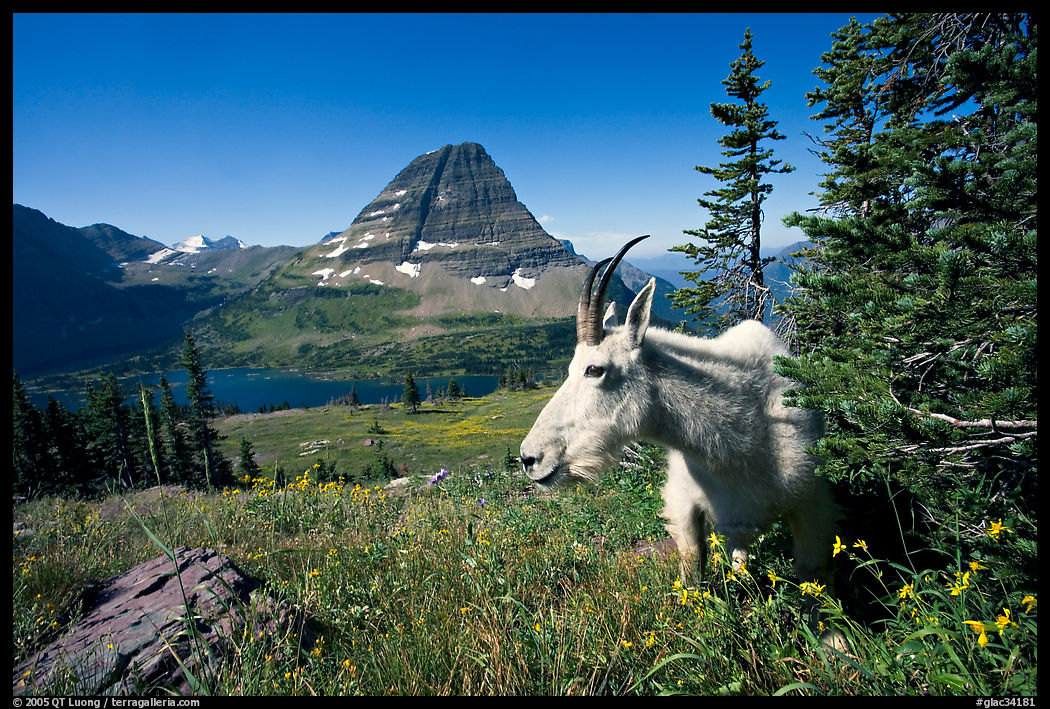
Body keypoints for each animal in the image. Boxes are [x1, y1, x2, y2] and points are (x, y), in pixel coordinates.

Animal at [520, 235, 839, 591]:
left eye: (594, 369)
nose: (530, 458)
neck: (742, 437)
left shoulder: (811, 503)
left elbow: (812, 577)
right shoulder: (684, 503)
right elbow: (692, 565)